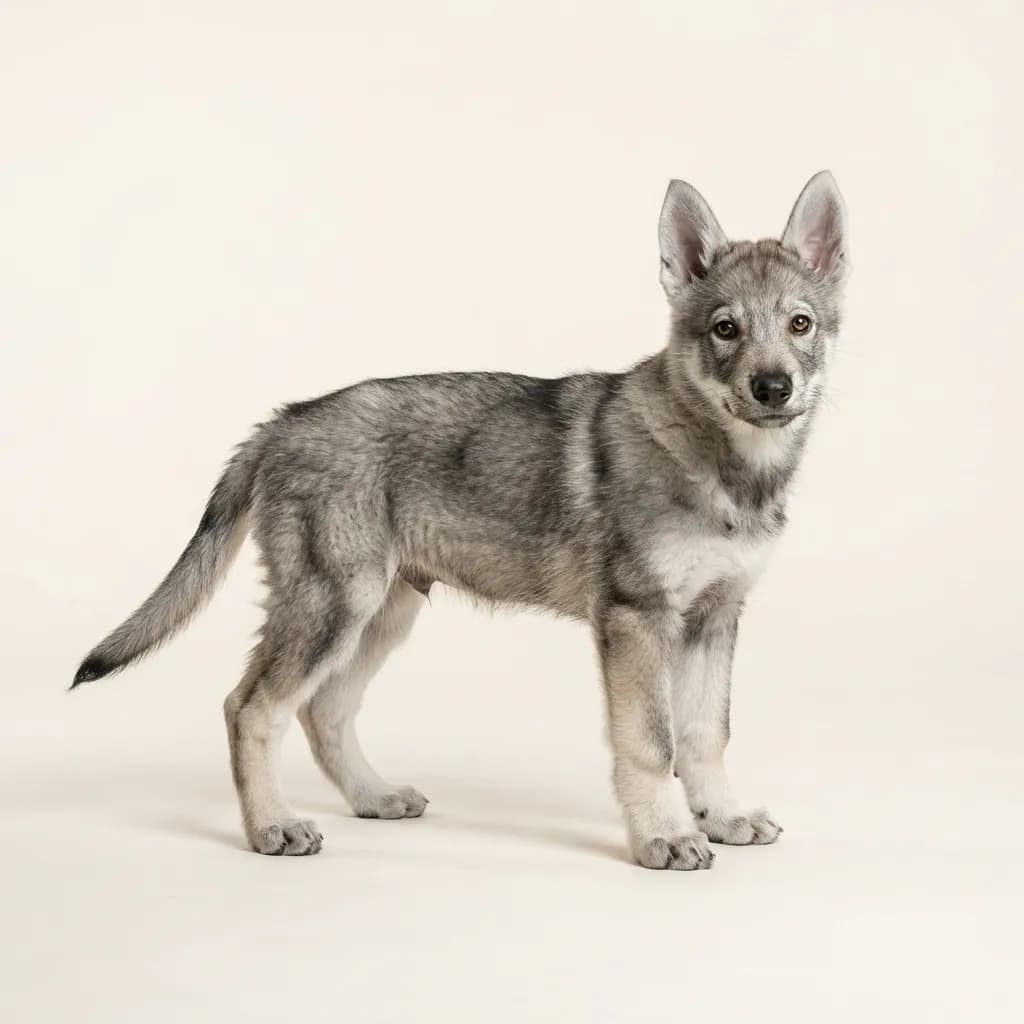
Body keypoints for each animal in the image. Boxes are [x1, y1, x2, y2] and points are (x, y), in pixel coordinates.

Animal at [73, 172, 847, 869]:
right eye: (725, 329)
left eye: (800, 324)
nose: (772, 388)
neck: (725, 465)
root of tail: (282, 421)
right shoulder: (638, 620)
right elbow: (653, 745)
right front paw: (663, 836)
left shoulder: (714, 618)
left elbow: (706, 734)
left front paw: (723, 817)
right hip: (334, 606)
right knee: (251, 707)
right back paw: (272, 827)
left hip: (383, 614)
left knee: (323, 712)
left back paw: (373, 797)